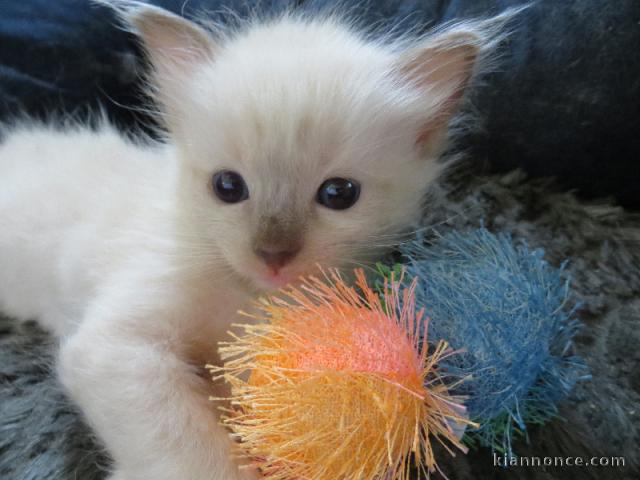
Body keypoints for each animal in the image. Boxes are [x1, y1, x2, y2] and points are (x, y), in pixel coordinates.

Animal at [0, 3, 484, 480]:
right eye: (227, 187)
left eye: (339, 194)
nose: (273, 255)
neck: (248, 297)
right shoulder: (117, 345)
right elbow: (194, 450)